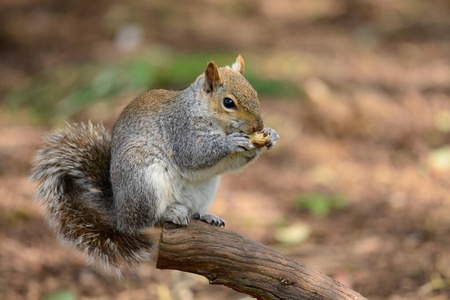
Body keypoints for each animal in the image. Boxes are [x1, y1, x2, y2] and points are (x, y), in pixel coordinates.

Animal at [29, 55, 278, 274]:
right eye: (228, 102)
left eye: (255, 93)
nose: (258, 126)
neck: (205, 113)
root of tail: (119, 211)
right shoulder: (181, 131)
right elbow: (195, 153)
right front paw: (232, 142)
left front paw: (271, 135)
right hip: (145, 183)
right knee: (145, 222)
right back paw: (170, 213)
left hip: (205, 189)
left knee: (190, 212)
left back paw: (204, 216)